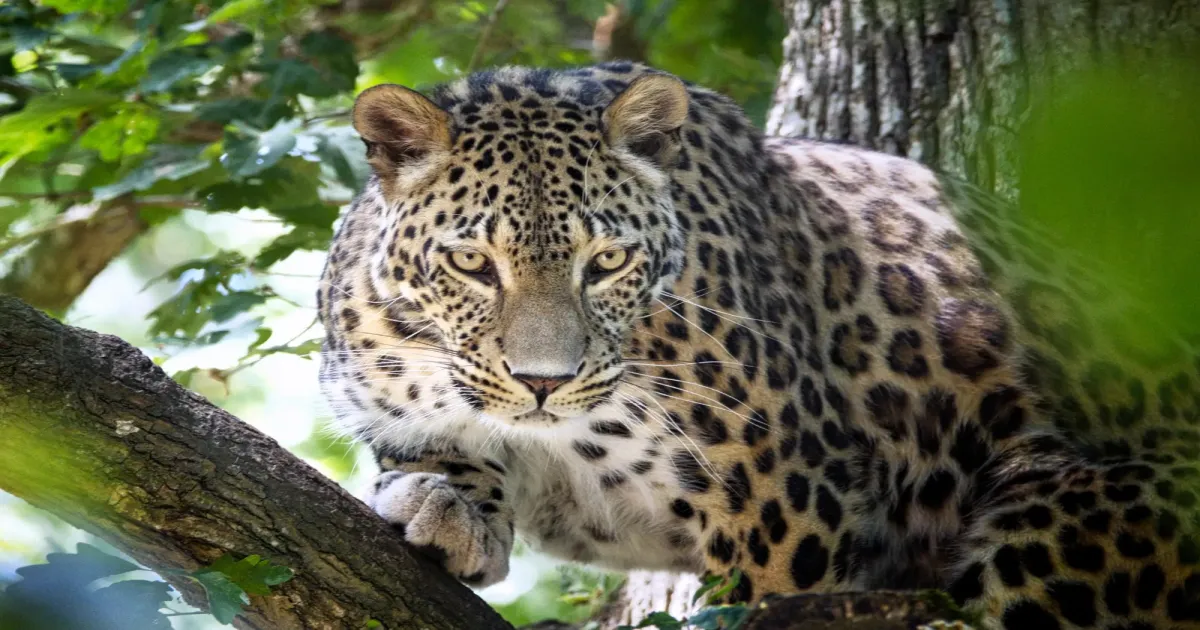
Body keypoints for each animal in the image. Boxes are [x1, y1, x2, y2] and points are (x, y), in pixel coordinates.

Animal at [316, 61, 1200, 629]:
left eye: (606, 262)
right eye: (473, 263)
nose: (544, 382)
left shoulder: (785, 488)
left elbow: (763, 599)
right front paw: (444, 500)